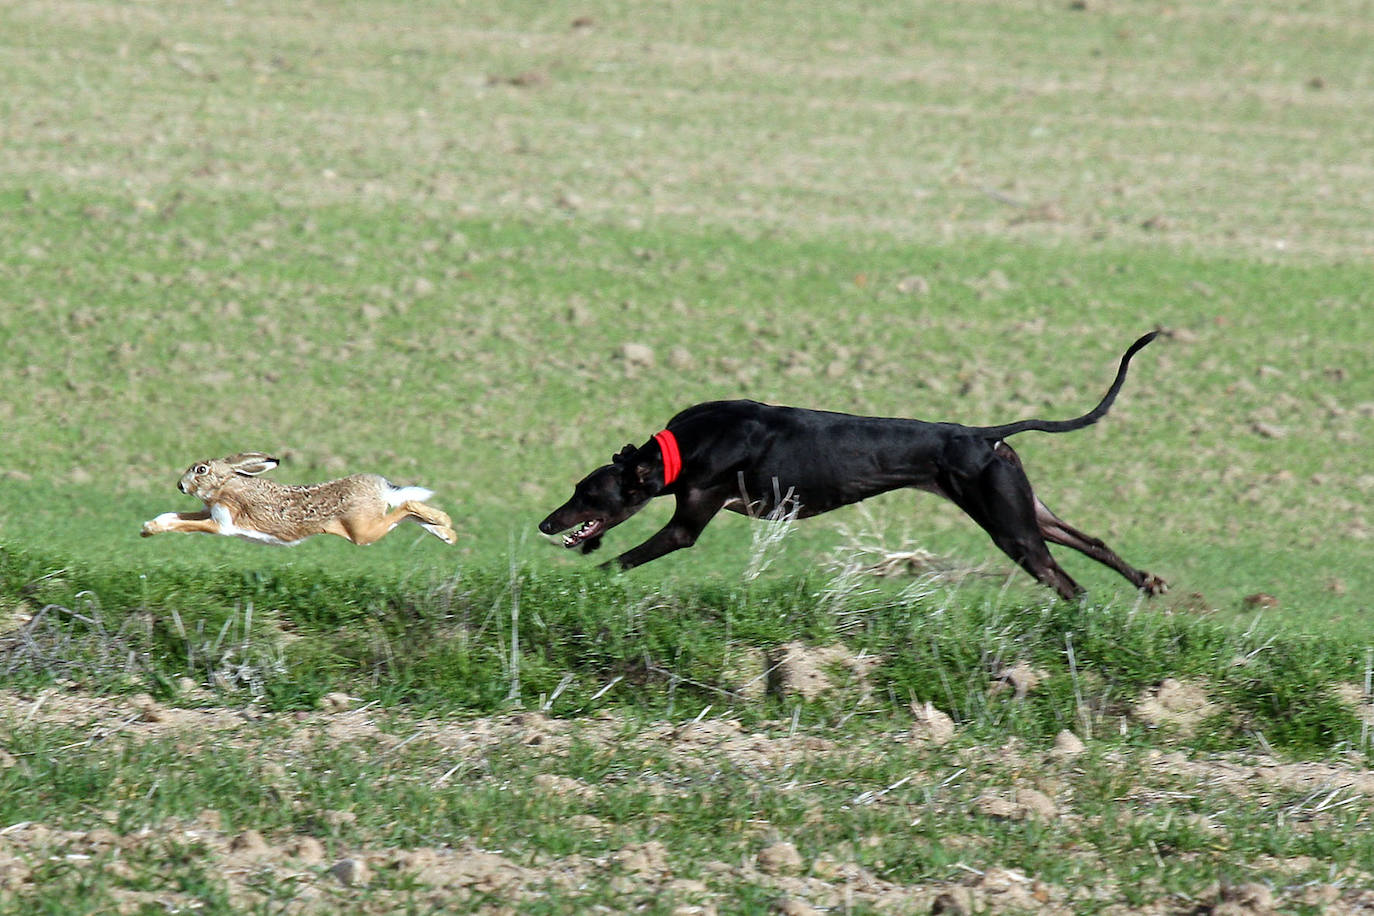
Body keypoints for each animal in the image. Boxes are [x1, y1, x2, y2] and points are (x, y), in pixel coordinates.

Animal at [541, 330, 1165, 601]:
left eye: (588, 495)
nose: (547, 524)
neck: (682, 445)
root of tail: (983, 436)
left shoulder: (687, 521)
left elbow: (623, 560)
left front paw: (581, 577)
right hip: (1025, 506)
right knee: (1089, 541)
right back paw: (1146, 581)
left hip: (1010, 527)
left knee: (1065, 581)